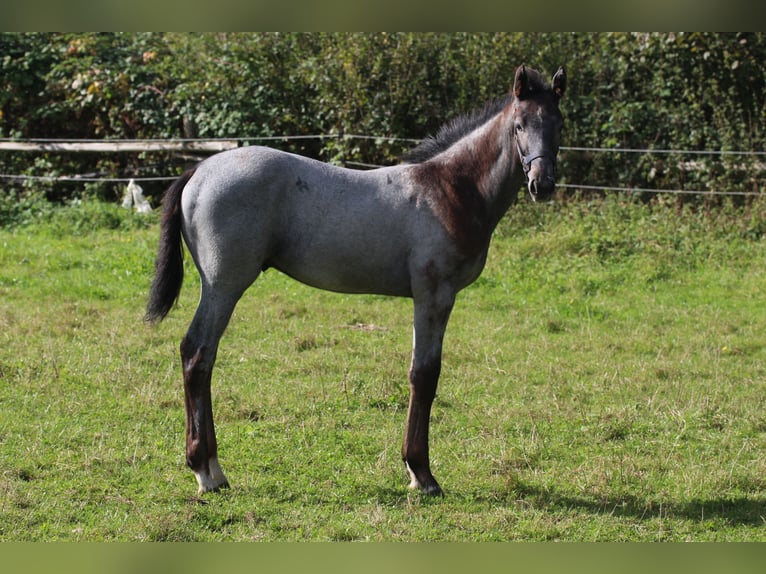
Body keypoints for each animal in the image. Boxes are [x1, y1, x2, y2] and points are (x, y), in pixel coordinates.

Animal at [147, 62, 568, 496]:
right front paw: (421, 473)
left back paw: (214, 469)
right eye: (519, 125)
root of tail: (199, 169)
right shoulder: (434, 294)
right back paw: (205, 469)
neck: (451, 189)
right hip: (223, 285)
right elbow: (424, 374)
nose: (542, 184)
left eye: (559, 124)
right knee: (197, 354)